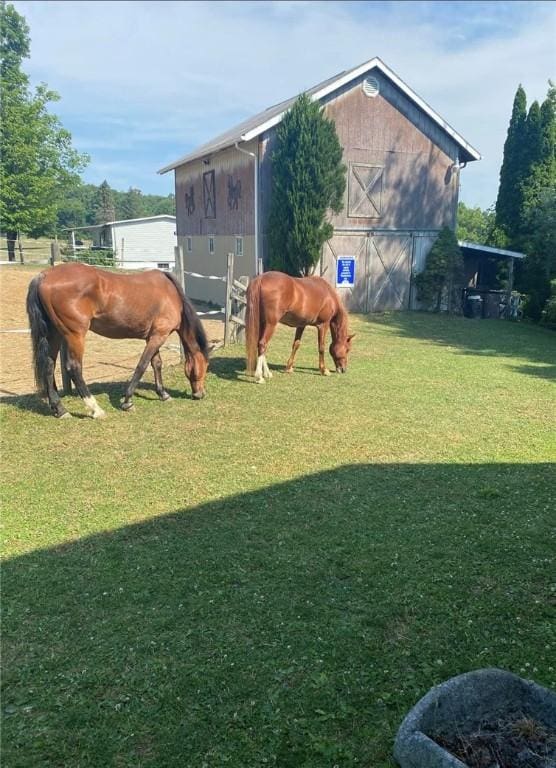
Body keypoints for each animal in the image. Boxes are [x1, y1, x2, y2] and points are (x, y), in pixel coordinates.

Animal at [26, 264, 210, 420]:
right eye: (205, 367)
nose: (200, 394)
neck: (171, 294)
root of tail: (43, 276)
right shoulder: (159, 336)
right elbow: (142, 365)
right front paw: (127, 401)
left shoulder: (153, 336)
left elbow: (156, 363)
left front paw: (163, 394)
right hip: (74, 335)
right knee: (74, 368)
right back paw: (96, 409)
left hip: (55, 335)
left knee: (49, 366)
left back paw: (60, 409)